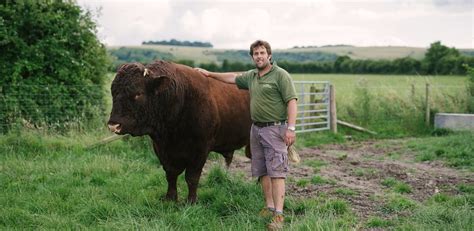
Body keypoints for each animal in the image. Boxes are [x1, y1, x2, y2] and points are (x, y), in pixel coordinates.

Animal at [107, 61, 252, 202]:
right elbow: (171, 174)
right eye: (113, 92)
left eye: (138, 94)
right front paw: (170, 198)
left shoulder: (201, 150)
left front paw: (191, 201)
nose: (114, 125)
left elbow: (192, 177)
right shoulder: (161, 149)